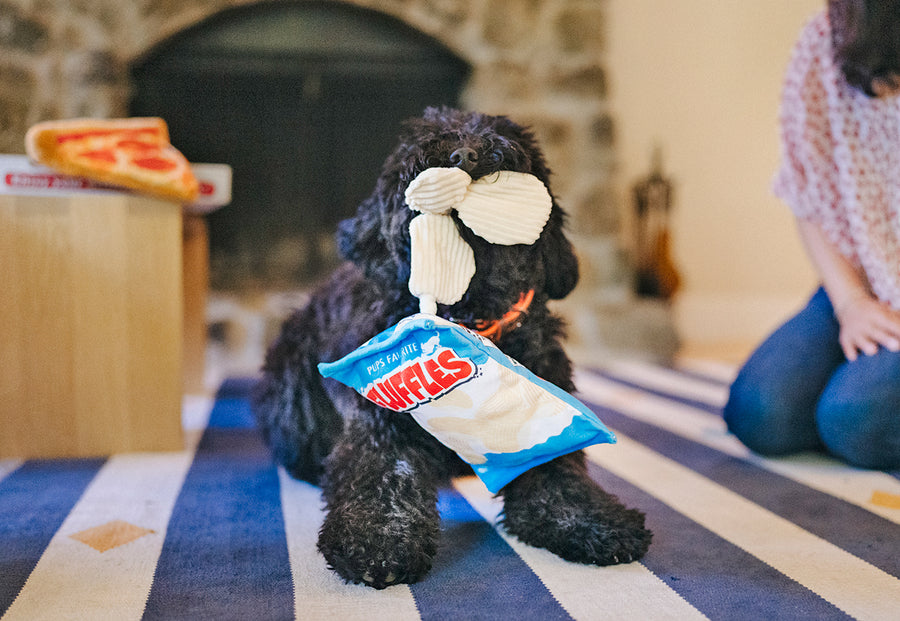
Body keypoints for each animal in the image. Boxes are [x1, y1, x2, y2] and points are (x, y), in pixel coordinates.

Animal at [250, 105, 652, 588]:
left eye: (505, 135)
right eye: (422, 137)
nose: (466, 154)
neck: (467, 316)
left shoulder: (542, 410)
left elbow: (559, 474)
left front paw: (590, 521)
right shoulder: (383, 420)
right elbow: (385, 475)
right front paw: (378, 539)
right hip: (293, 387)